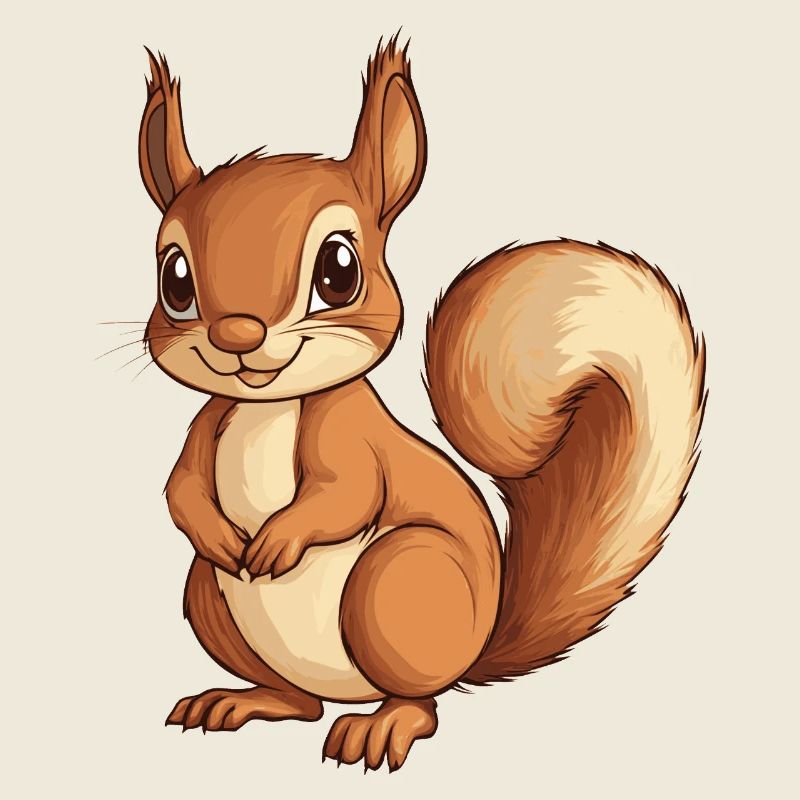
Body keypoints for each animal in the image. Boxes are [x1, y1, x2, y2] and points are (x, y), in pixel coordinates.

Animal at [137, 36, 706, 772]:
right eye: (173, 279)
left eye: (339, 271)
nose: (237, 337)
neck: (267, 409)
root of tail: (472, 654)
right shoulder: (207, 422)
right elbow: (179, 488)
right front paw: (217, 531)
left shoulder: (348, 434)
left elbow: (346, 494)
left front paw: (279, 540)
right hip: (207, 594)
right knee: (298, 699)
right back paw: (242, 700)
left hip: (398, 580)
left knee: (420, 700)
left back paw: (382, 726)